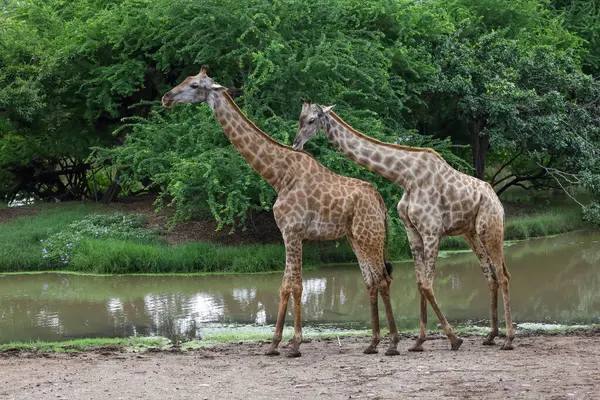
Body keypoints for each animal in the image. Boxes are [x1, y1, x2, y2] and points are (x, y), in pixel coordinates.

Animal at [162, 67, 400, 358]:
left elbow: (295, 285)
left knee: (383, 279)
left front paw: (295, 344)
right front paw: (274, 344)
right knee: (371, 280)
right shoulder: (286, 233)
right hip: (356, 237)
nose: (166, 97)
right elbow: (285, 285)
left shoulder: (293, 231)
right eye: (185, 80)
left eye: (195, 85)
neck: (278, 175)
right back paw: (373, 343)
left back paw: (392, 343)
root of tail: (381, 203)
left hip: (370, 235)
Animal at [292, 101, 512, 352]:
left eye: (311, 120)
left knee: (503, 276)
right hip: (472, 232)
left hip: (491, 227)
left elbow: (427, 285)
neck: (406, 177)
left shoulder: (432, 231)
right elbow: (420, 284)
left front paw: (454, 339)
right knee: (491, 275)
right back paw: (491, 336)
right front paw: (419, 341)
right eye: (299, 118)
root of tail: (496, 199)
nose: (295, 143)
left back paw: (508, 339)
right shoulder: (413, 232)